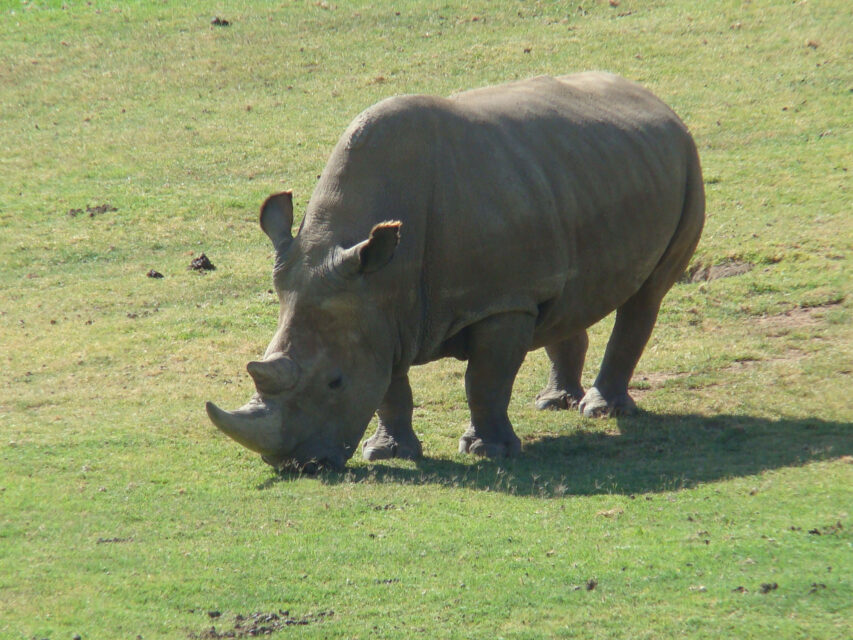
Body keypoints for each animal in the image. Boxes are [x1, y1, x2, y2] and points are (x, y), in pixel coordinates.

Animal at [206, 72, 704, 472]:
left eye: (335, 382)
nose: (296, 464)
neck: (383, 276)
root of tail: (657, 101)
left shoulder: (500, 302)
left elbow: (484, 380)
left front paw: (488, 452)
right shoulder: (377, 308)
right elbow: (389, 387)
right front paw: (388, 453)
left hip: (687, 161)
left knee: (646, 297)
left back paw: (603, 412)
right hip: (582, 174)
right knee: (564, 298)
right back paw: (554, 403)